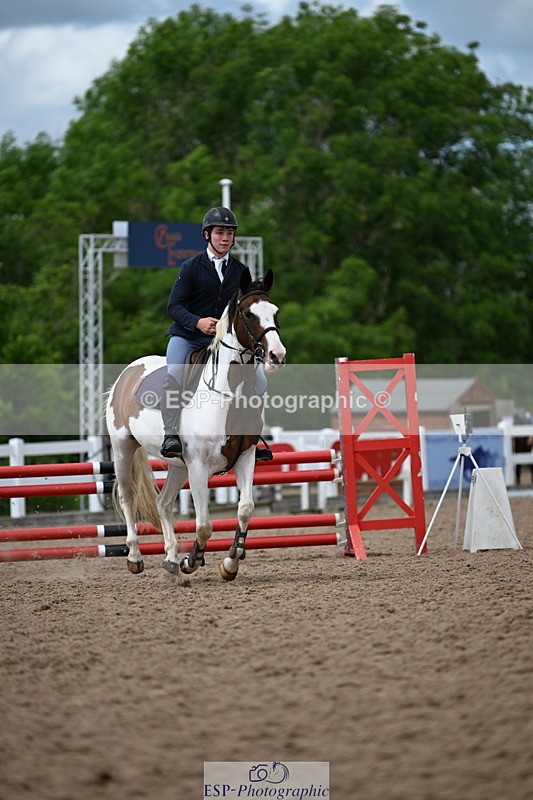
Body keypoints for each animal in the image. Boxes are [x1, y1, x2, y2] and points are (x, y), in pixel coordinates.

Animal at [105, 268, 286, 585]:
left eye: (274, 312)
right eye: (249, 314)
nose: (277, 355)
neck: (229, 395)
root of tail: (128, 372)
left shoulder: (246, 458)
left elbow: (245, 509)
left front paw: (230, 563)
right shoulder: (199, 468)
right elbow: (204, 524)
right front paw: (193, 560)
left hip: (177, 466)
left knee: (163, 504)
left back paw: (171, 561)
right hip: (123, 449)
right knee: (127, 497)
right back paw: (136, 557)